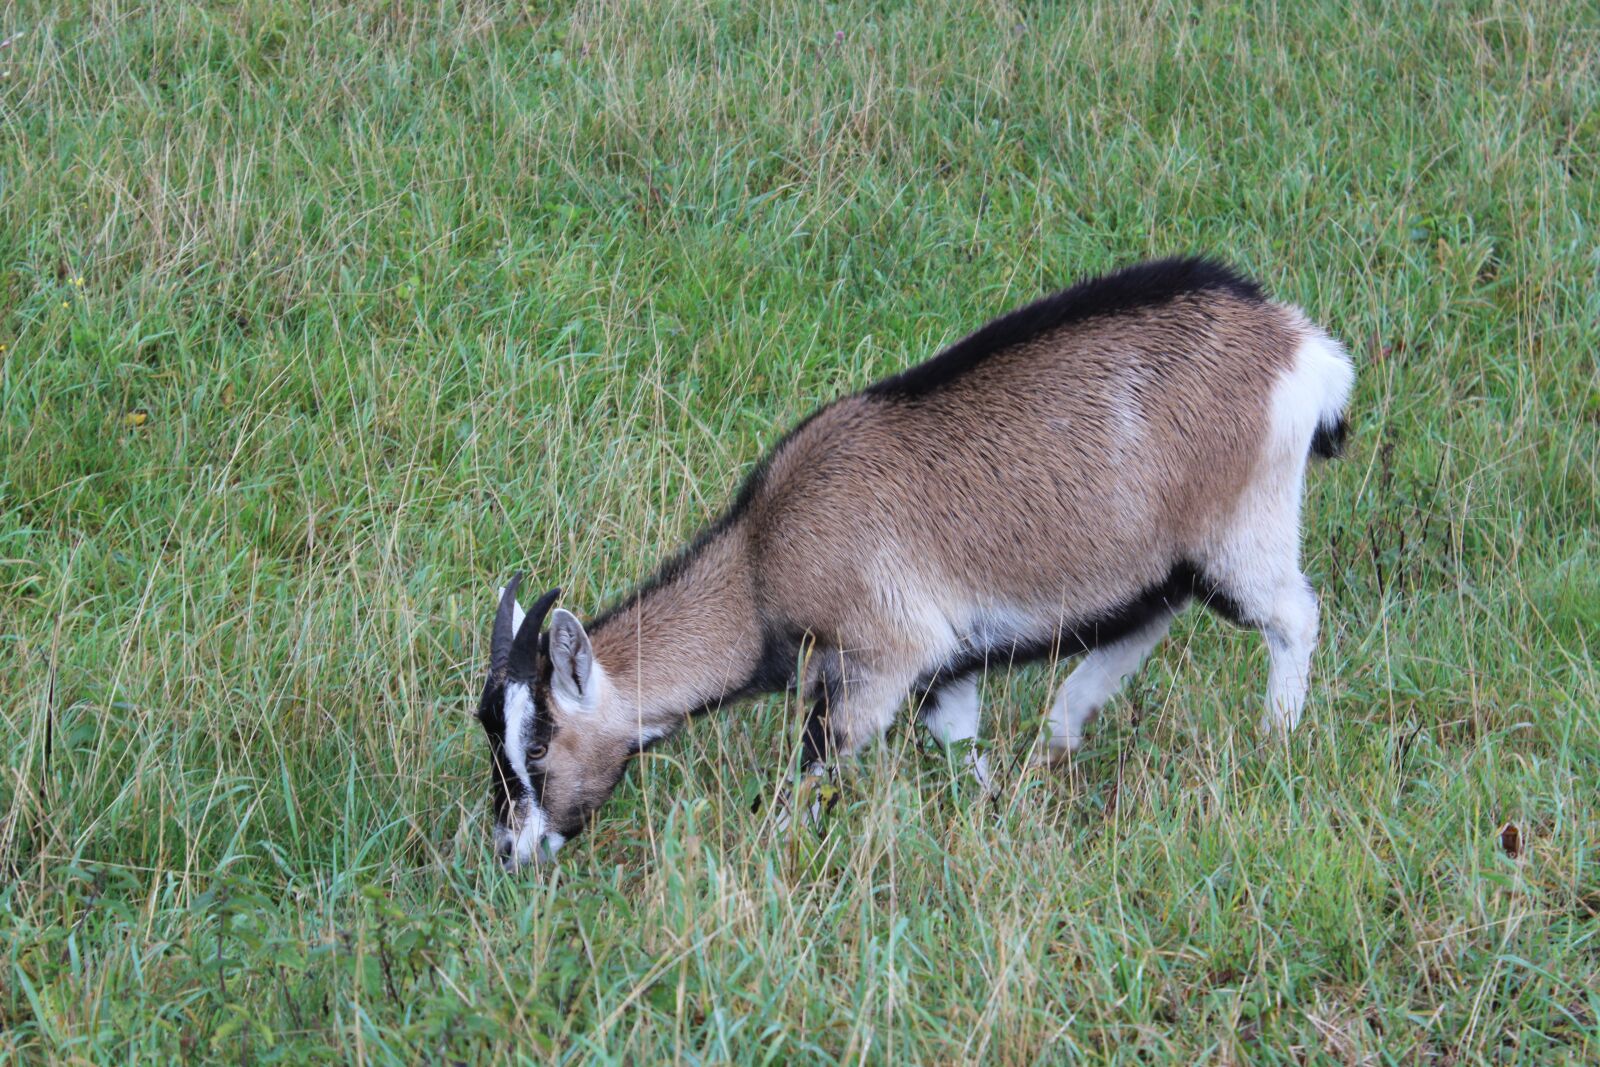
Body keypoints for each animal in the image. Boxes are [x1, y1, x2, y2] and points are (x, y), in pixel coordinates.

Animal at [474, 257, 1355, 870]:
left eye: (539, 747)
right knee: (1144, 622)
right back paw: (1061, 732)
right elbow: (963, 750)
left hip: (1242, 533)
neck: (762, 561)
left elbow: (812, 769)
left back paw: (1274, 740)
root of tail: (1299, 347)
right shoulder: (944, 668)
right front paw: (992, 817)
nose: (511, 850)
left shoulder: (884, 655)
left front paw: (773, 857)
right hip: (1164, 558)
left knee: (1293, 615)